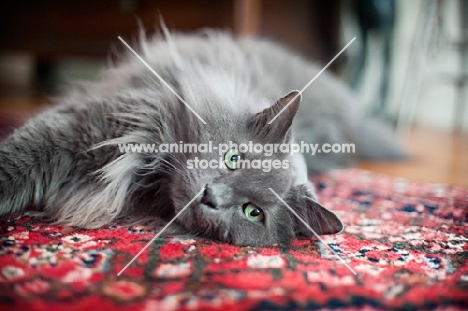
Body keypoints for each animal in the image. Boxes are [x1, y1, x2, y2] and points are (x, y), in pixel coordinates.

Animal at [0, 30, 404, 247]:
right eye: (233, 158)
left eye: (253, 213)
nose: (211, 196)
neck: (148, 180)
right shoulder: (89, 125)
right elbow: (17, 160)